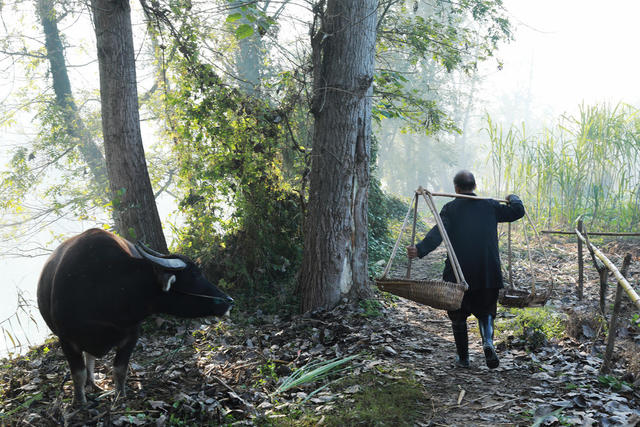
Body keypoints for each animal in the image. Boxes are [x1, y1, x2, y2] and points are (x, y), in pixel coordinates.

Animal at [36, 227, 234, 404]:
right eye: (194, 275)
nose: (229, 300)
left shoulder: (131, 334)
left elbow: (119, 369)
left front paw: (120, 396)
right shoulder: (66, 339)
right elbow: (78, 373)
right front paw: (79, 402)